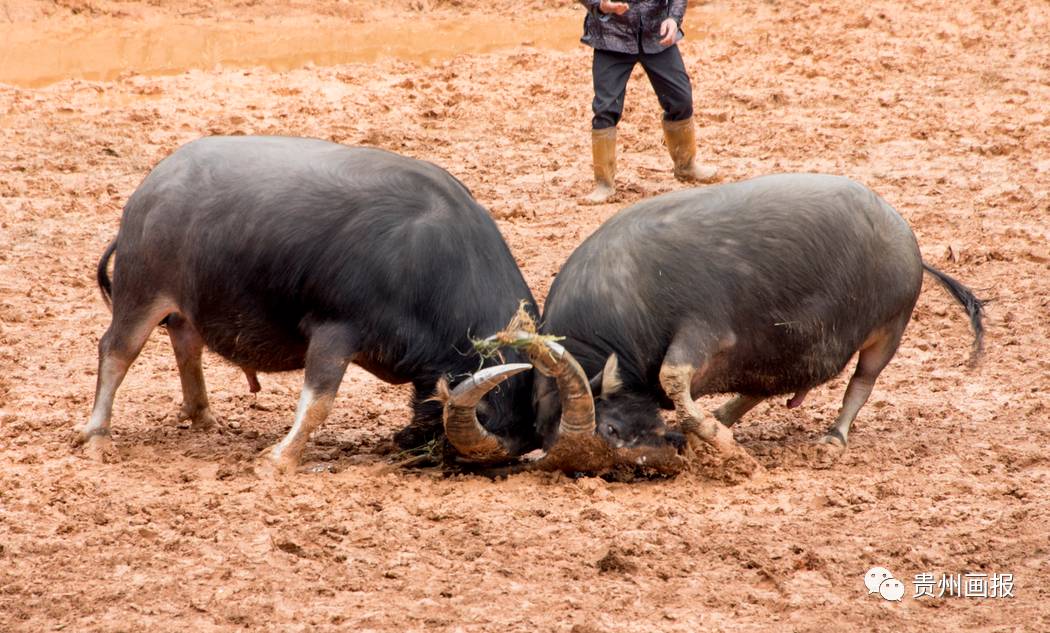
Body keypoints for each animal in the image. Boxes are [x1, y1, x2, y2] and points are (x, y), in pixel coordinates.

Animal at [78, 136, 554, 470]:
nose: (416, 450)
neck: (427, 259)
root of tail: (149, 190)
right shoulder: (335, 330)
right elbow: (318, 401)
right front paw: (278, 460)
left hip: (185, 305)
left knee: (186, 344)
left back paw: (204, 418)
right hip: (141, 292)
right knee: (116, 352)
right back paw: (97, 437)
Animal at [459, 173, 982, 470]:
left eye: (608, 432)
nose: (652, 461)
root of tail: (905, 236)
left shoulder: (703, 333)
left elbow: (672, 377)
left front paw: (724, 446)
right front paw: (709, 434)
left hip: (889, 329)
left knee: (862, 380)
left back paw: (832, 439)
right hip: (777, 349)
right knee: (763, 385)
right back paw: (725, 418)